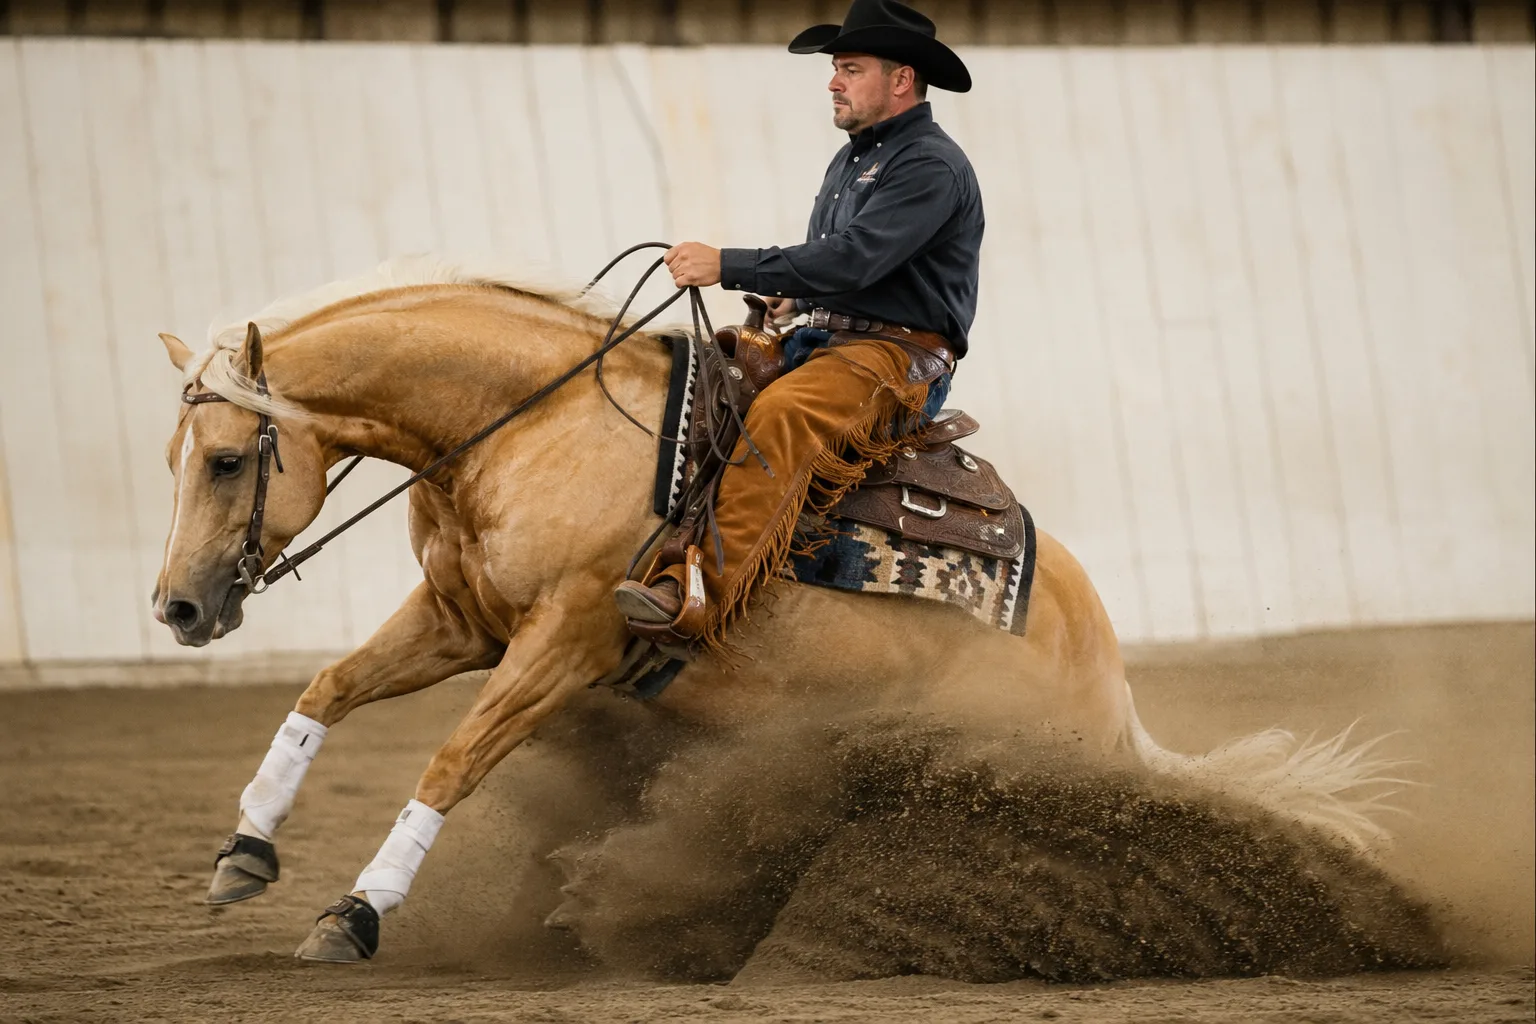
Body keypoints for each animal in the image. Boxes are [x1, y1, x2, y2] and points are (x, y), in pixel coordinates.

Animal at [152, 257, 1394, 964]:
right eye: (176, 456)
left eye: (225, 459)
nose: (176, 606)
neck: (531, 423)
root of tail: (1100, 657)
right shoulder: (465, 619)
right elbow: (326, 690)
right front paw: (245, 851)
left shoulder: (566, 640)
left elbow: (452, 760)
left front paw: (355, 914)